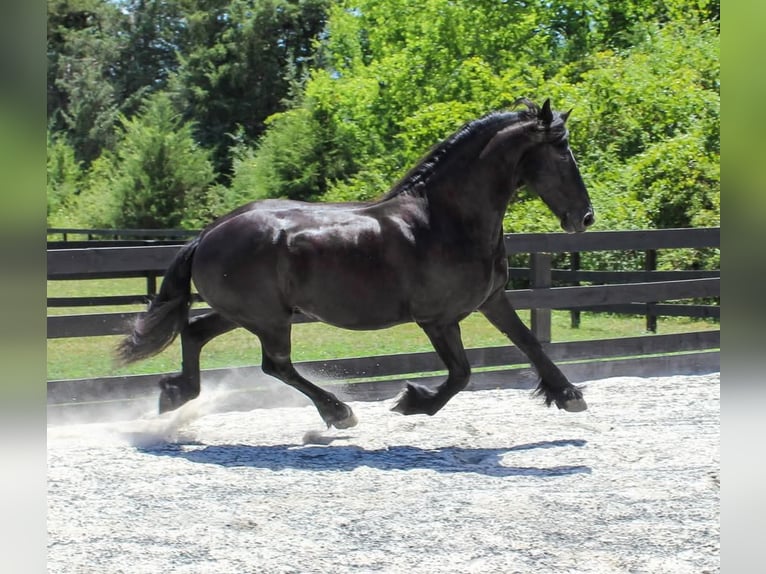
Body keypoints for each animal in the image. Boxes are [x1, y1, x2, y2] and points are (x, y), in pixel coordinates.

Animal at [117, 98, 595, 429]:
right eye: (563, 151)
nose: (585, 218)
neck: (443, 219)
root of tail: (207, 234)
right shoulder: (437, 319)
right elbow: (461, 373)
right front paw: (412, 401)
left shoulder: (492, 299)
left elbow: (529, 342)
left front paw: (569, 394)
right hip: (268, 319)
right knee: (275, 364)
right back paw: (339, 412)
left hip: (244, 313)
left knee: (196, 332)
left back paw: (175, 393)